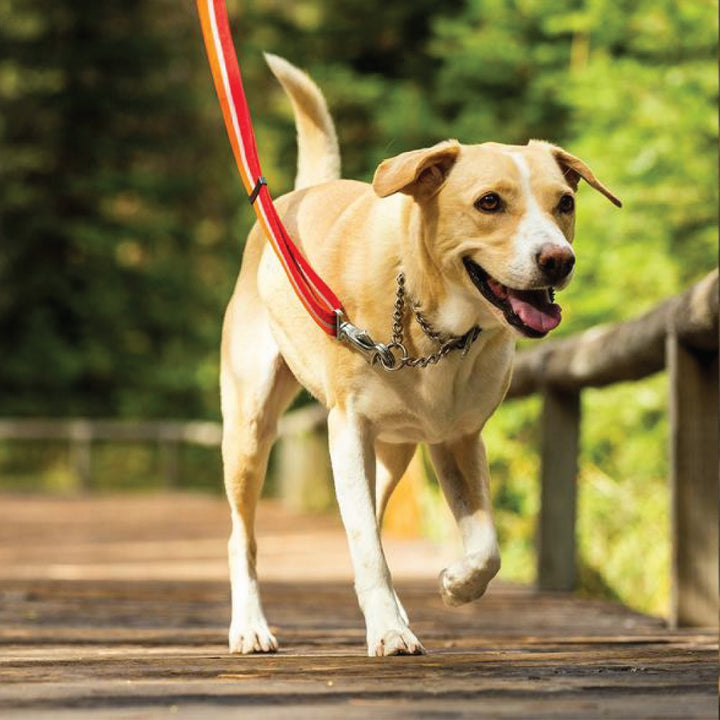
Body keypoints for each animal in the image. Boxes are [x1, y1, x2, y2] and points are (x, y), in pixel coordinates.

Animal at [219, 53, 620, 656]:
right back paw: (250, 625)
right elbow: (364, 545)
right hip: (250, 429)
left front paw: (456, 584)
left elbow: (486, 545)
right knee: (243, 536)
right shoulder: (348, 431)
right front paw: (388, 630)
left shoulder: (458, 438)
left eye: (565, 204)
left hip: (395, 453)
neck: (433, 327)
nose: (559, 259)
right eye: (489, 203)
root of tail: (300, 195)